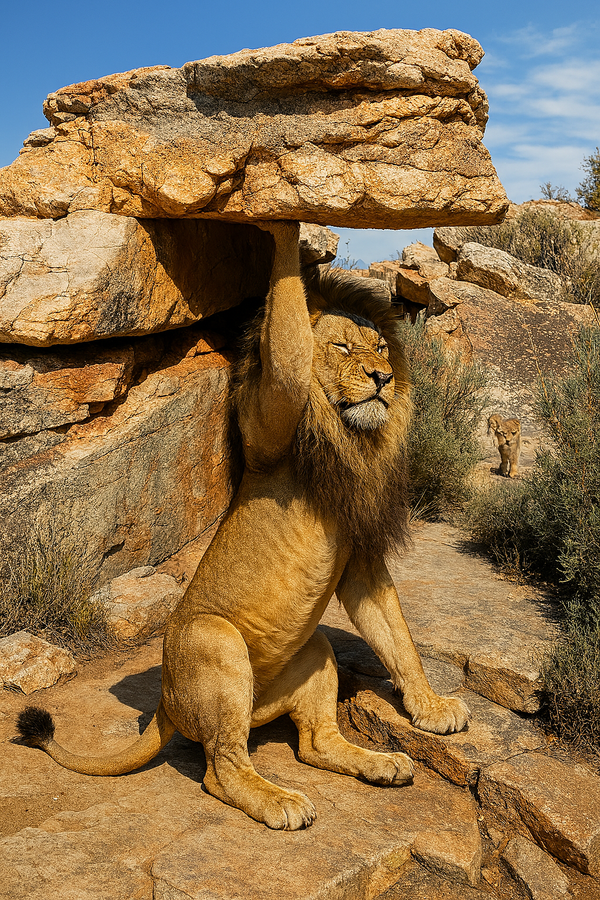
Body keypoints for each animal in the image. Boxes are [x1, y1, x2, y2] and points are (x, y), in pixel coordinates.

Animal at [17, 222, 469, 831]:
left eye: (379, 348)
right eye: (342, 348)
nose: (383, 377)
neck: (348, 439)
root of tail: (163, 704)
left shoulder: (360, 558)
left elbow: (397, 635)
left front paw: (430, 707)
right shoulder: (272, 414)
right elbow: (289, 348)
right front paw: (285, 229)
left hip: (314, 650)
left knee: (315, 743)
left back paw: (383, 764)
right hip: (216, 640)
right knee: (222, 767)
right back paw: (280, 801)